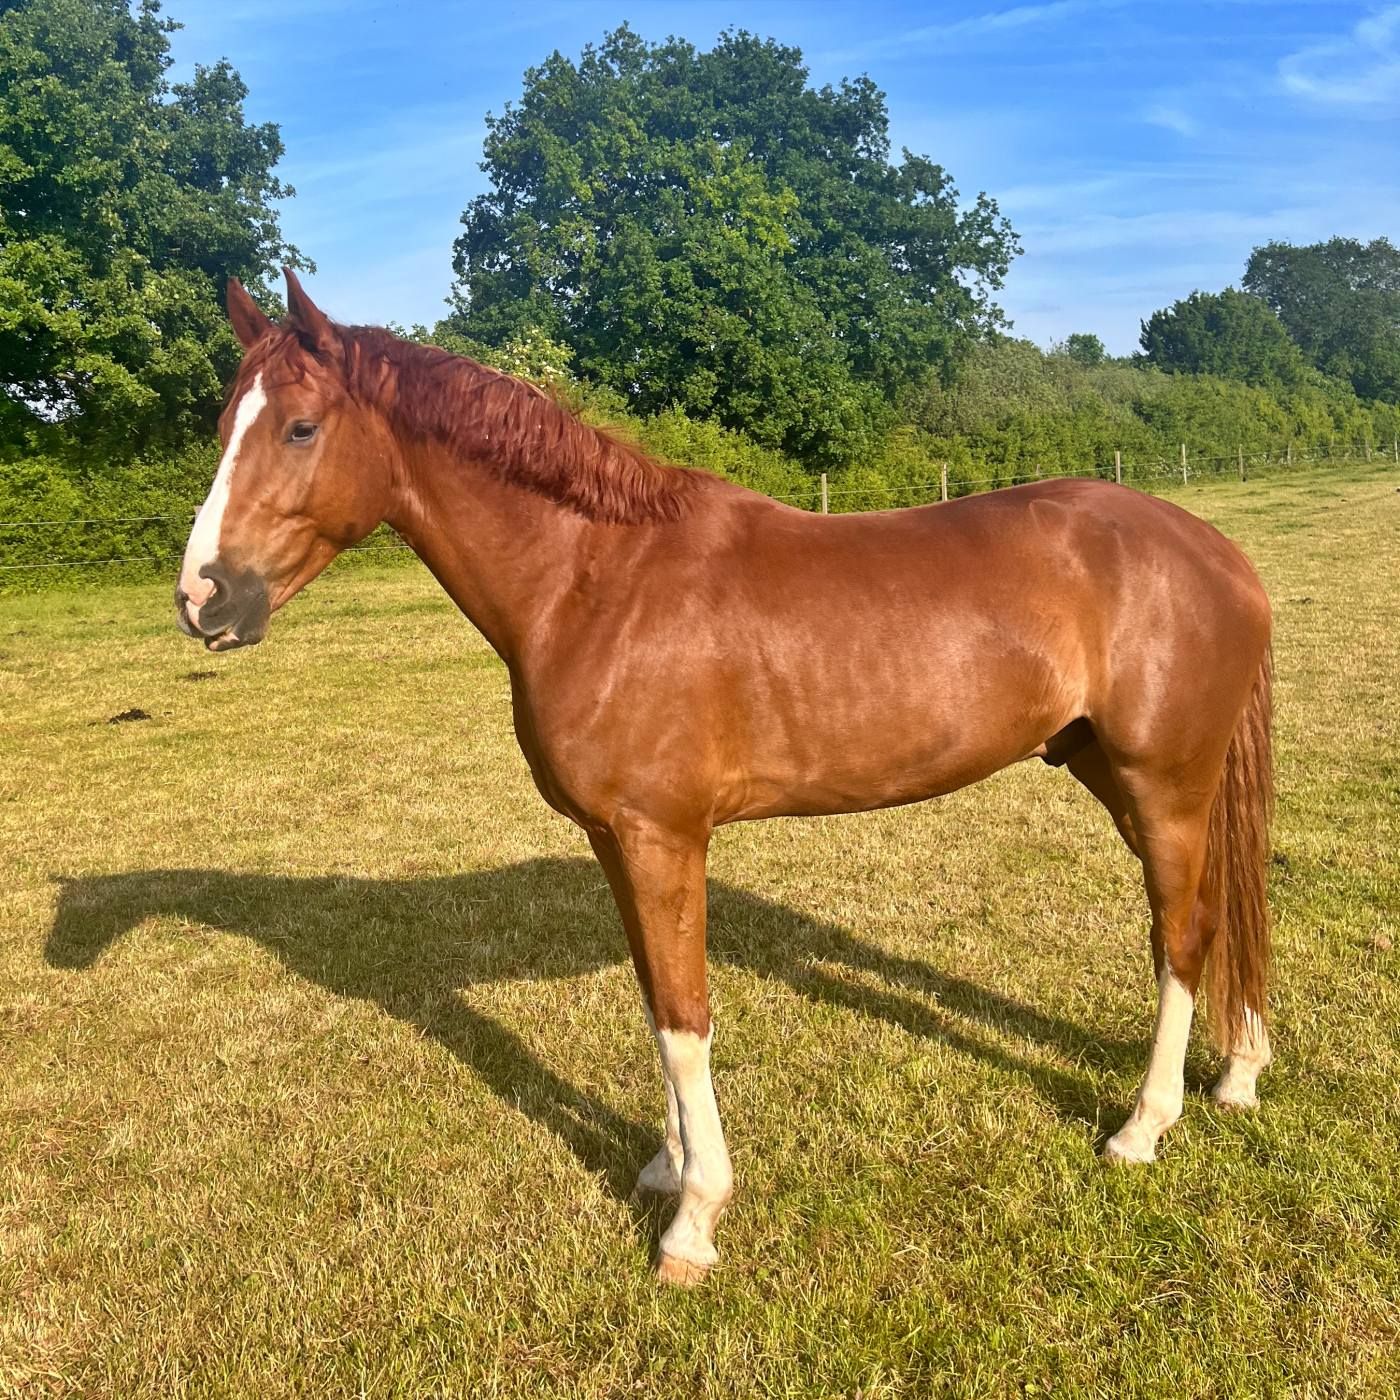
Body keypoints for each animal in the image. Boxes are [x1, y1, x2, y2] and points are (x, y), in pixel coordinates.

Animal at [176, 269, 1274, 1286]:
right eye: (224, 424)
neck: (592, 581)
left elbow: (684, 1017)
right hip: (1117, 774)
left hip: (1161, 782)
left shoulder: (663, 835)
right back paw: (1238, 1074)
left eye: (303, 427)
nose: (201, 597)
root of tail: (1217, 551)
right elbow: (653, 1001)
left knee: (1180, 935)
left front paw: (692, 1221)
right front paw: (664, 1167)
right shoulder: (616, 841)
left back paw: (1142, 1125)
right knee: (1221, 908)